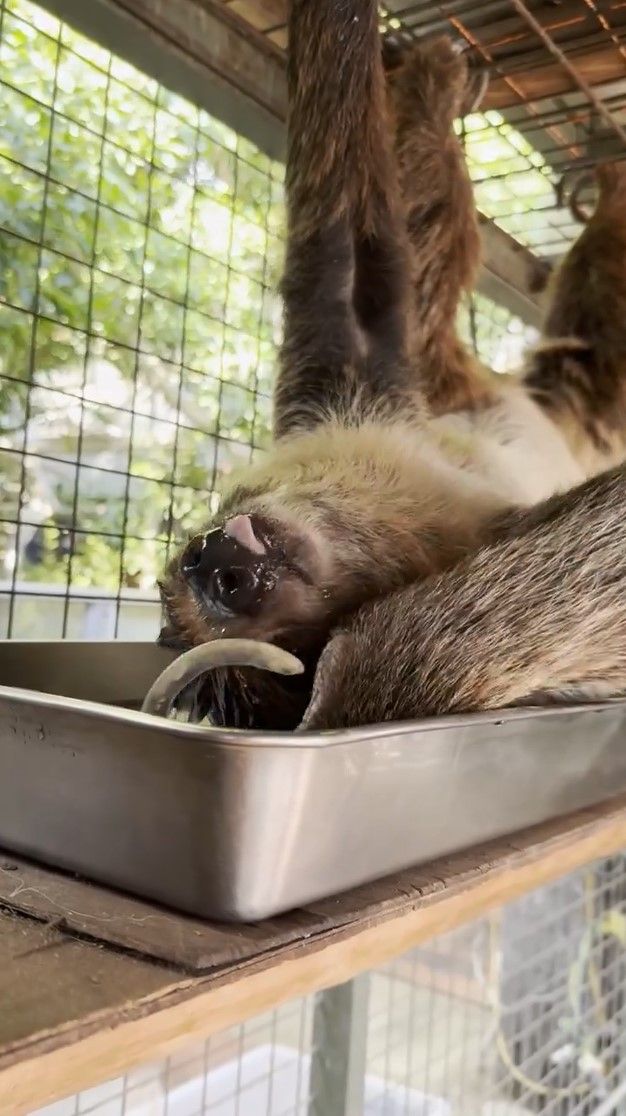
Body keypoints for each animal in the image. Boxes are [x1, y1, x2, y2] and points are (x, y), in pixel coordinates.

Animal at [158, 2, 625, 732]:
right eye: (288, 649)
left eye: (204, 566)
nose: (218, 568)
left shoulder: (337, 390)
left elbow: (345, 251)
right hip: (580, 387)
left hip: (465, 374)